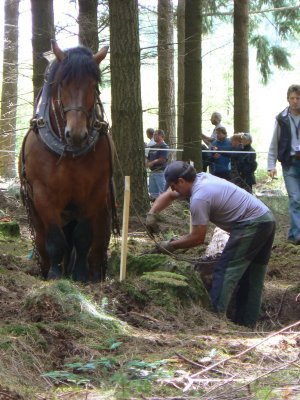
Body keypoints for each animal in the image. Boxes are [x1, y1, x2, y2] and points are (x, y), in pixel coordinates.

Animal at [19, 41, 118, 282]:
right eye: (62, 84)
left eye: (94, 84)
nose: (77, 134)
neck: (70, 152)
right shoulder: (43, 194)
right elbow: (55, 239)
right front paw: (55, 275)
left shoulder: (94, 193)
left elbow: (83, 237)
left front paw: (80, 275)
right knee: (45, 243)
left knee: (95, 246)